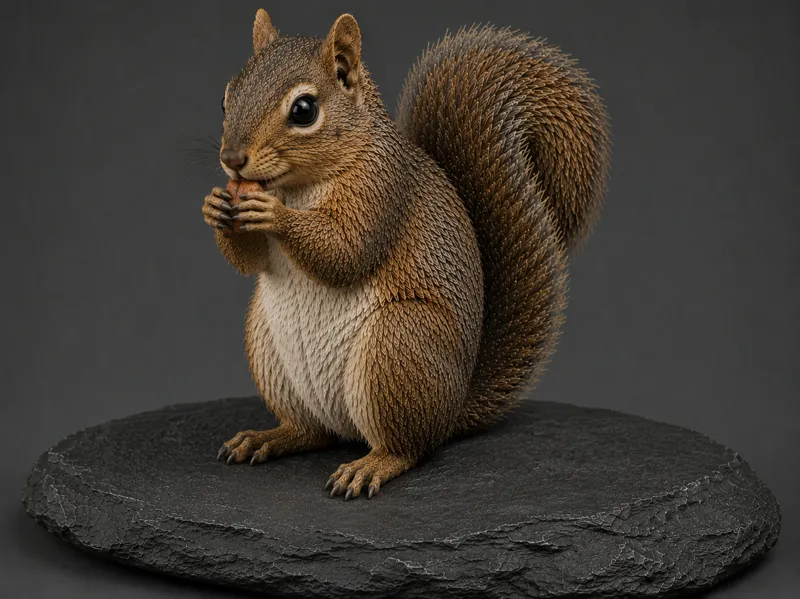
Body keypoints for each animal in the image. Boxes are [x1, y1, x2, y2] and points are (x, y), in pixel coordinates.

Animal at [204, 9, 610, 500]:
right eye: (226, 96)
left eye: (304, 110)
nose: (231, 159)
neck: (300, 185)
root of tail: (452, 409)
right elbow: (253, 262)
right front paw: (214, 207)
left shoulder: (383, 189)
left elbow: (345, 251)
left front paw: (273, 213)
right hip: (270, 353)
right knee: (311, 431)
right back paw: (267, 437)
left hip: (398, 346)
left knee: (410, 447)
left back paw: (371, 465)